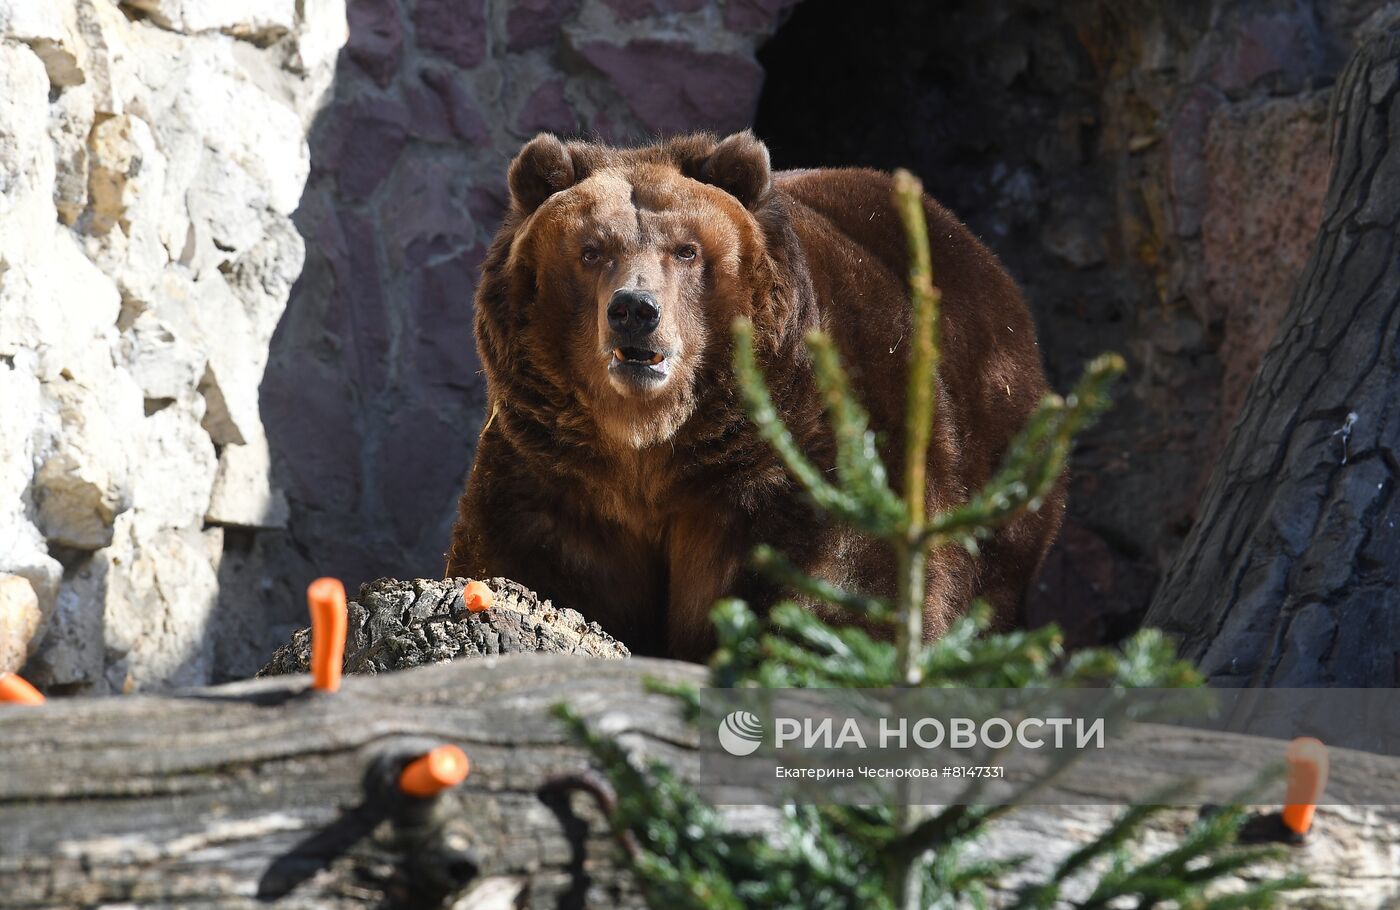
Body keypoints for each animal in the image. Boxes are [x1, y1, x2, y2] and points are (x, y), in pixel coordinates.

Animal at [448, 130, 1058, 655]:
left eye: (686, 250)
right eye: (592, 250)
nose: (634, 310)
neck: (651, 446)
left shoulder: (801, 455)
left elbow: (845, 582)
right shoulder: (555, 475)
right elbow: (528, 564)